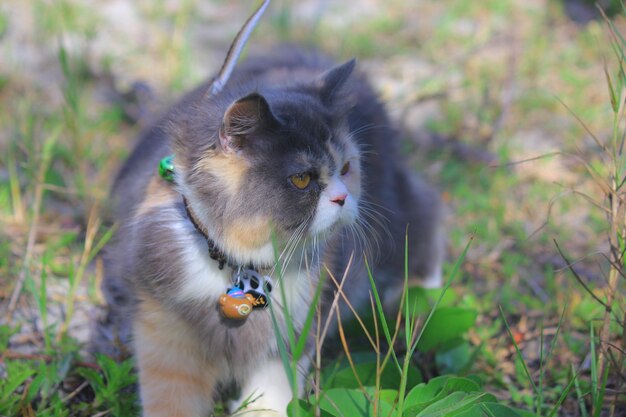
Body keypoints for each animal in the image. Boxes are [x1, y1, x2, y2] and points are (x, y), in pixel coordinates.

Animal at [91, 1, 444, 414]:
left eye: (345, 168)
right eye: (302, 179)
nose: (343, 197)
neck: (235, 267)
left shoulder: (292, 335)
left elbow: (272, 395)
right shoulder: (163, 331)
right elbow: (172, 398)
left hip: (396, 214)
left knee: (427, 213)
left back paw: (419, 297)